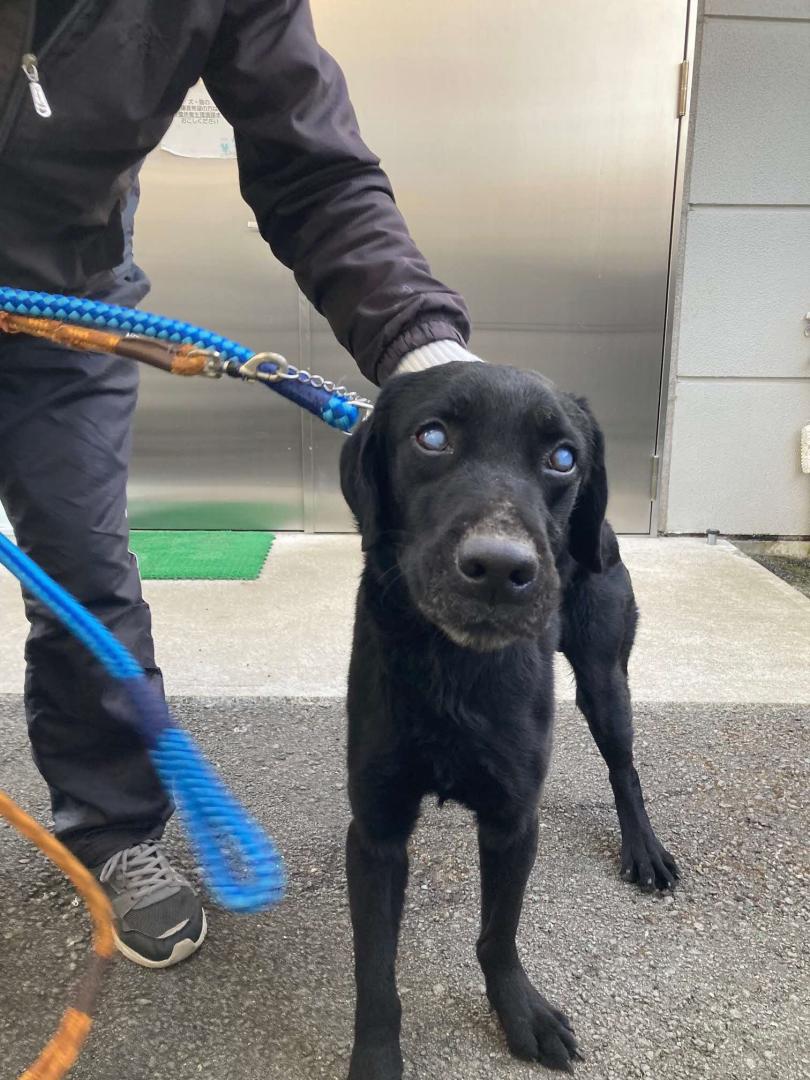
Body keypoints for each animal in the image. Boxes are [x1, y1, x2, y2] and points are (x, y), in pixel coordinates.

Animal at [339, 362, 678, 1079]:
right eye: (432, 436)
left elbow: (499, 933)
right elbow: (376, 970)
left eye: (563, 458)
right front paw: (377, 1057)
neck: (454, 668)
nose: (499, 567)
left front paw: (522, 1015)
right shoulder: (377, 830)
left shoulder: (514, 817)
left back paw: (643, 849)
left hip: (605, 681)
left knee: (625, 769)